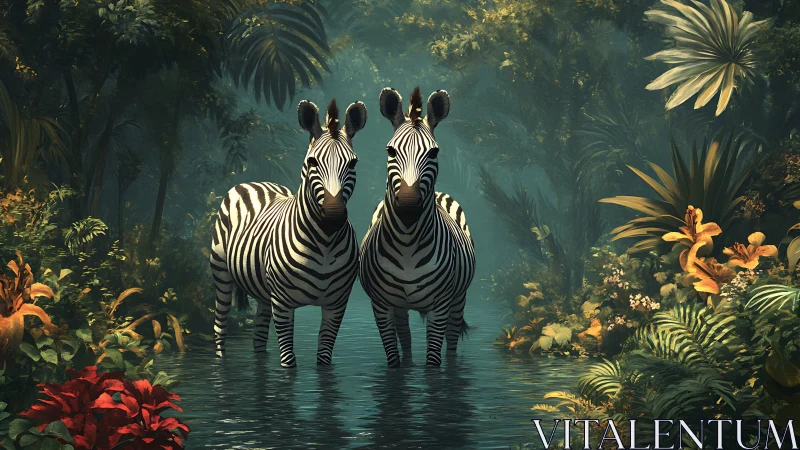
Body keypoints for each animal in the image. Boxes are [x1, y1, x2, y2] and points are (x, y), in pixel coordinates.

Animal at [210, 99, 367, 367]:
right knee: (220, 328)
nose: (333, 217)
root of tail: (255, 182)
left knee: (259, 336)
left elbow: (324, 359)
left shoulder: (336, 304)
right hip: (222, 274)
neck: (324, 245)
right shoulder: (283, 304)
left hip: (264, 292)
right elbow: (288, 361)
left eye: (353, 163)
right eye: (312, 162)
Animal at [359, 87, 476, 367]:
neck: (407, 244)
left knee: (451, 344)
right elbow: (394, 360)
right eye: (390, 151)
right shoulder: (382, 305)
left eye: (433, 153)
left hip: (459, 299)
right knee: (407, 342)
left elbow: (434, 362)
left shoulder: (440, 305)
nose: (409, 206)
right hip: (401, 307)